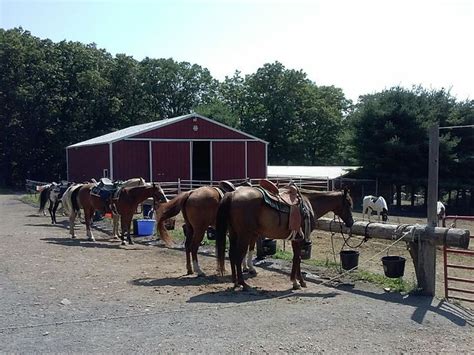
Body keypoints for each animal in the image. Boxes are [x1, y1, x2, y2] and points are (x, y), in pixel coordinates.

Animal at [217, 188, 354, 290]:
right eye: (348, 203)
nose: (351, 222)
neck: (309, 205)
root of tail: (232, 194)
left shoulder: (296, 239)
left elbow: (297, 258)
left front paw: (298, 281)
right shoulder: (300, 240)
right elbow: (297, 259)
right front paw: (297, 282)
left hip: (234, 234)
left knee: (232, 255)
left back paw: (235, 282)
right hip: (244, 236)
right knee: (238, 257)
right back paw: (243, 284)